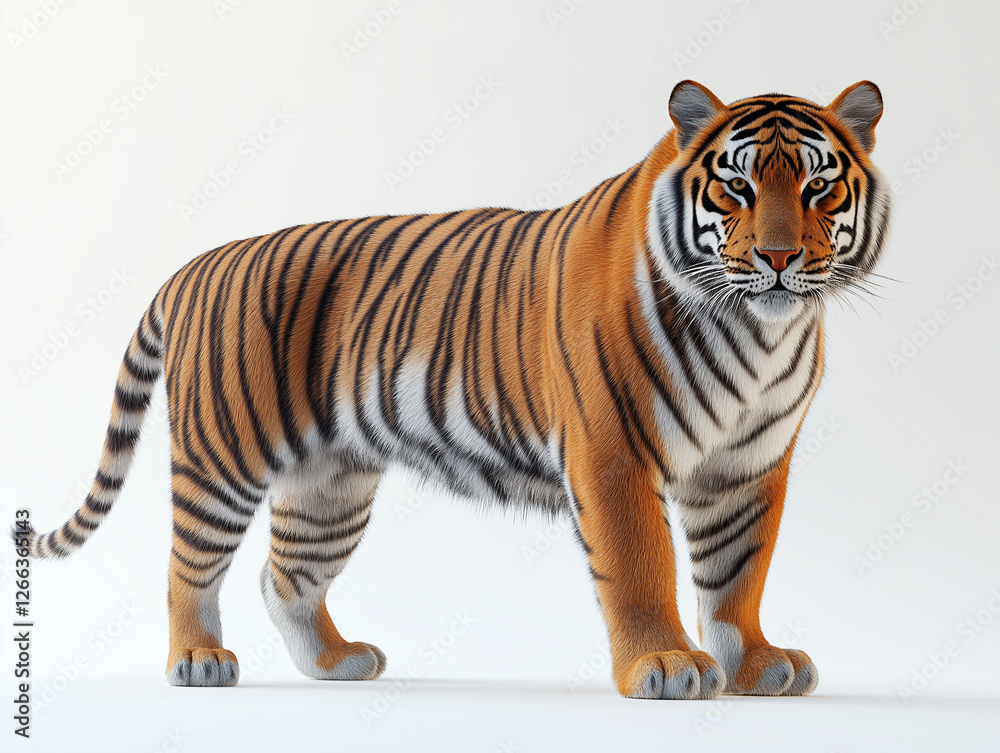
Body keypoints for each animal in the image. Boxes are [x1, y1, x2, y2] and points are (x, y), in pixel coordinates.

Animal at [14, 80, 890, 700]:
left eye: (818, 189)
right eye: (736, 190)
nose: (778, 257)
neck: (759, 331)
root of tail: (197, 263)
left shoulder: (748, 466)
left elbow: (738, 573)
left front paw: (758, 665)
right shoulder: (614, 454)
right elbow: (643, 566)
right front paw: (666, 664)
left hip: (330, 482)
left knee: (284, 573)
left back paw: (335, 661)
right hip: (223, 455)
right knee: (187, 565)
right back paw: (197, 659)